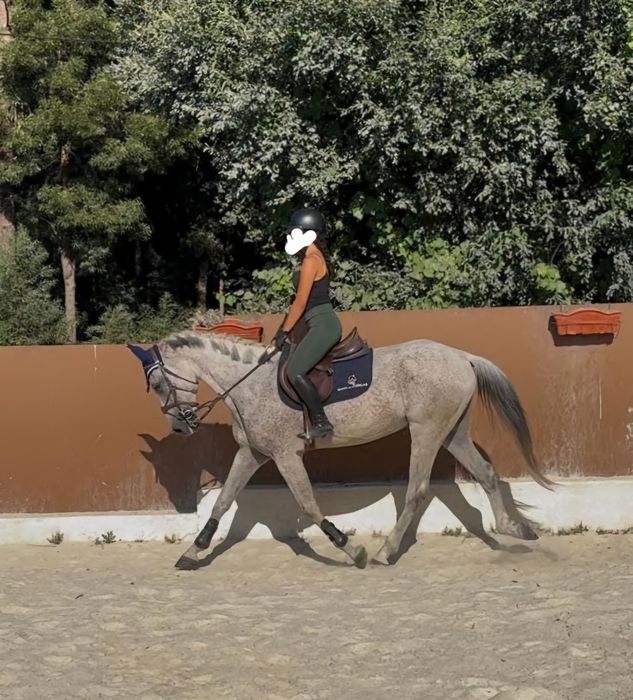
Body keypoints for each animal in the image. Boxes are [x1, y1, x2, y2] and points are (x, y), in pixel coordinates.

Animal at [128, 331, 553, 570]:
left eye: (159, 384)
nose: (182, 426)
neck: (248, 384)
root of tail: (462, 356)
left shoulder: (285, 455)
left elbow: (309, 504)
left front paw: (351, 550)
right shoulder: (253, 453)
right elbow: (222, 502)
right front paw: (193, 553)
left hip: (427, 432)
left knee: (417, 491)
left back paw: (383, 552)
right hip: (454, 433)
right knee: (486, 473)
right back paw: (515, 528)